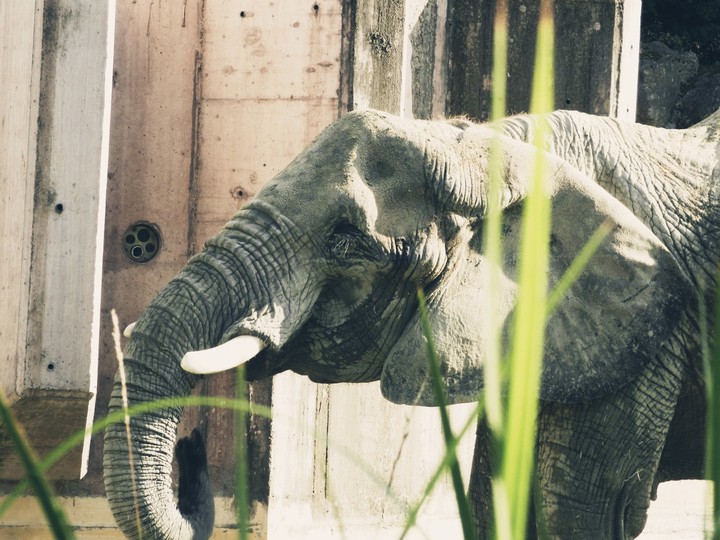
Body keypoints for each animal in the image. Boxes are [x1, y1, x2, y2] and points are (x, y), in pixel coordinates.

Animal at [103, 107, 720, 539]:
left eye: (345, 238)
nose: (193, 453)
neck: (490, 145)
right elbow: (496, 500)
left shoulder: (645, 338)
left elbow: (579, 511)